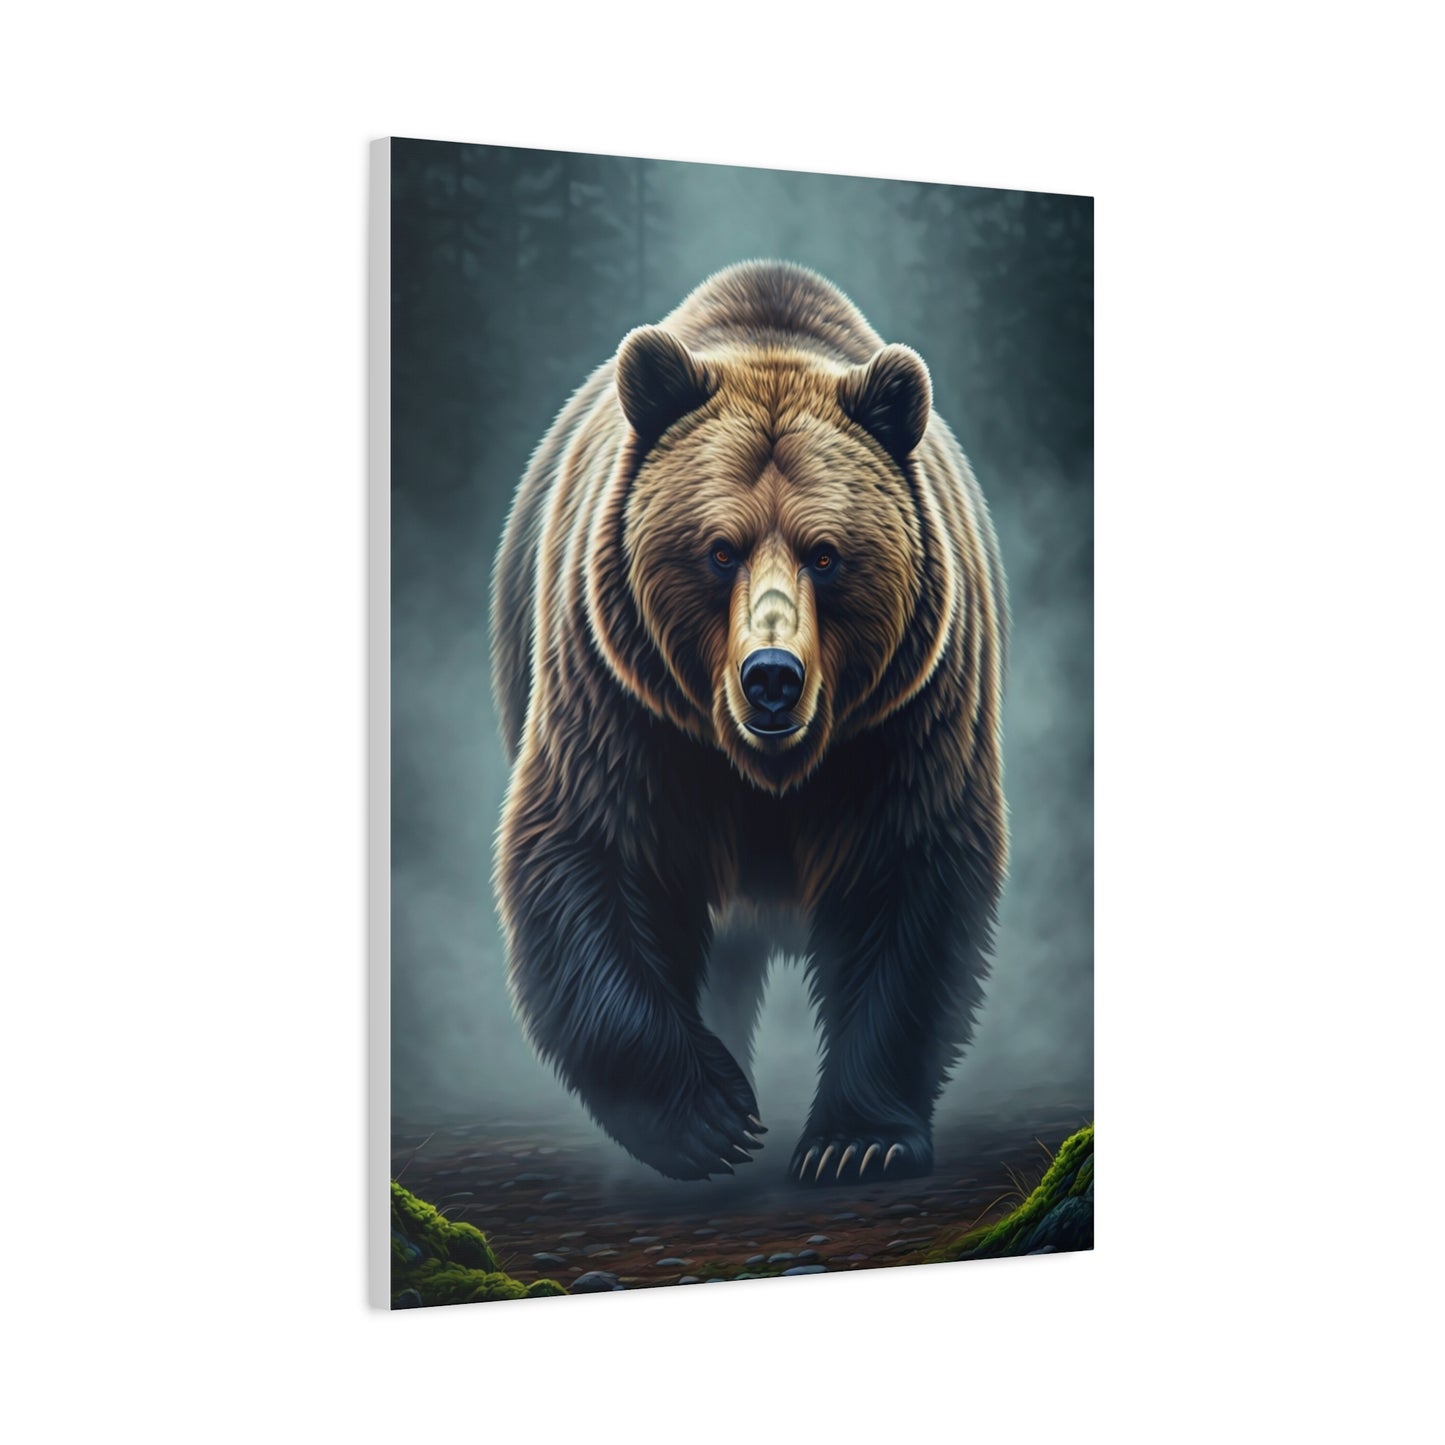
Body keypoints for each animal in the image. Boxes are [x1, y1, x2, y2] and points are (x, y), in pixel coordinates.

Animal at [491, 260, 1007, 1186]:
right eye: (718, 548)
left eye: (826, 553)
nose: (771, 677)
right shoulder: (624, 701)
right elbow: (588, 853)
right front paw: (712, 1118)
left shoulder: (905, 716)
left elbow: (911, 878)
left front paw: (856, 1140)